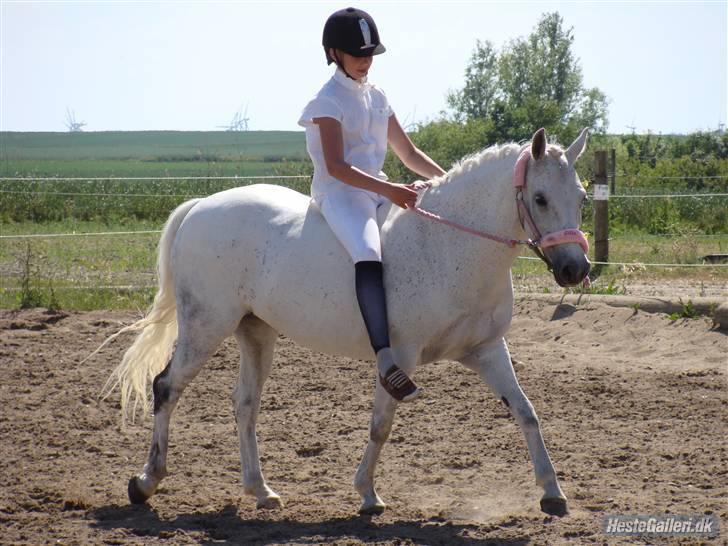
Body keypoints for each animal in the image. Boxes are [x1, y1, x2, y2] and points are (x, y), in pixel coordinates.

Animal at [104, 126, 592, 516]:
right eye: (540, 198)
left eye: (582, 197)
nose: (575, 269)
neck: (450, 244)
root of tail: (203, 204)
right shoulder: (399, 359)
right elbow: (381, 426)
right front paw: (368, 495)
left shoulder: (486, 350)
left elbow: (527, 412)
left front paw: (552, 493)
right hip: (206, 326)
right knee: (167, 387)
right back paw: (145, 483)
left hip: (255, 331)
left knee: (245, 404)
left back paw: (260, 491)